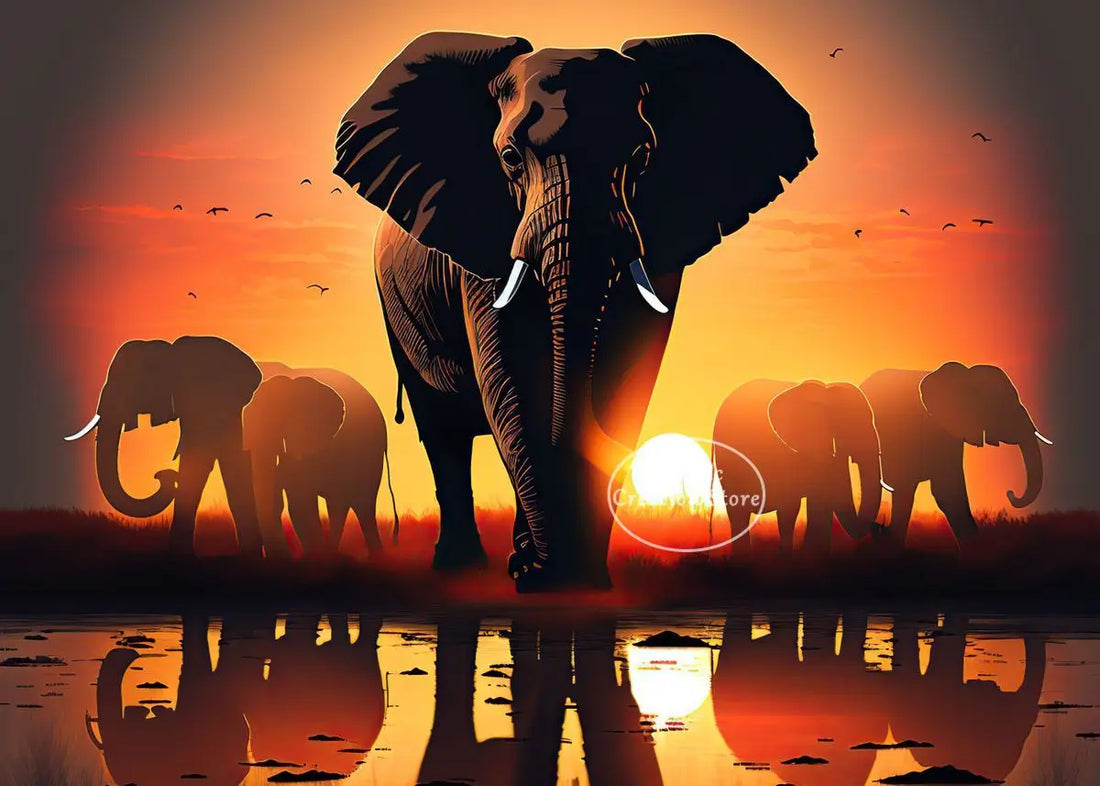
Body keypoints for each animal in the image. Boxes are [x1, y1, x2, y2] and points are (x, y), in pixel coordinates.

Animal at [334, 32, 816, 590]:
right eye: (508, 158)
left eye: (642, 156)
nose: (533, 565)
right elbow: (515, 379)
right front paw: (548, 577)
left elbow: (625, 378)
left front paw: (575, 578)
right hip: (397, 308)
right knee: (443, 430)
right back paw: (462, 567)